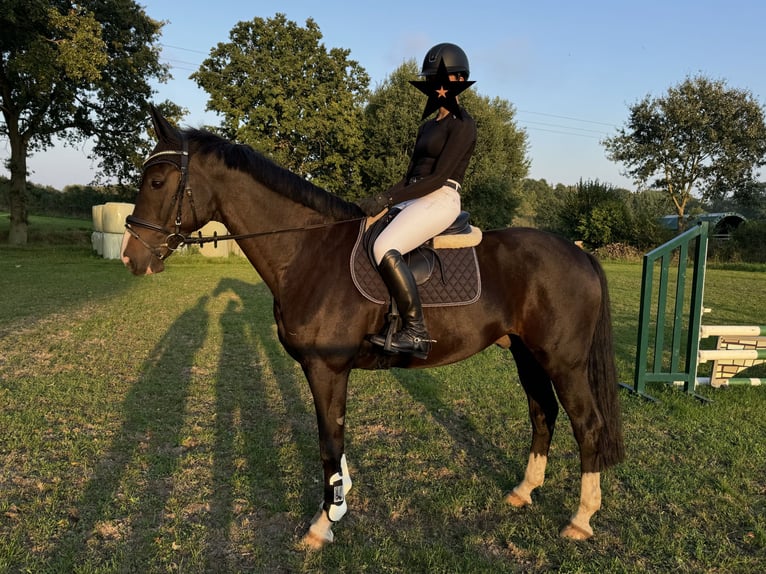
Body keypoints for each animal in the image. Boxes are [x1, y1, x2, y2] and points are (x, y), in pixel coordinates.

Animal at [120, 106, 624, 552]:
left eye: (158, 181)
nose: (131, 257)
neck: (308, 251)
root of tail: (578, 252)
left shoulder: (327, 368)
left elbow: (329, 442)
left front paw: (323, 524)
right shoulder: (325, 370)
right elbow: (334, 439)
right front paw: (338, 504)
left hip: (563, 361)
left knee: (587, 424)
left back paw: (581, 519)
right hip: (525, 352)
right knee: (543, 413)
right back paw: (523, 492)